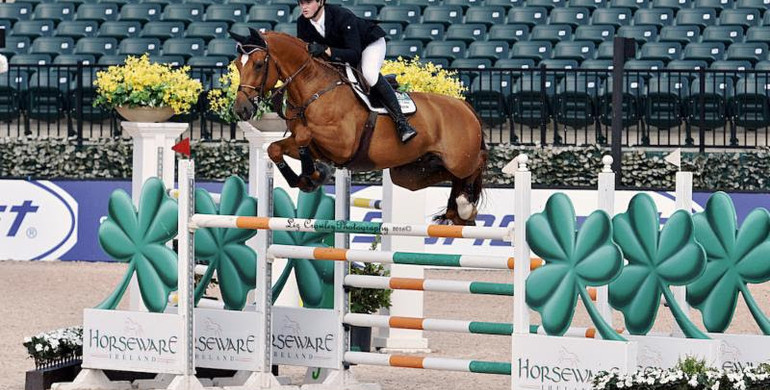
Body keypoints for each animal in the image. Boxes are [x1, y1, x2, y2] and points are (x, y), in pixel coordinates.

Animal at [230, 29, 486, 225]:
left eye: (259, 64)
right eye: (237, 65)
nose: (241, 109)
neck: (313, 89)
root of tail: (464, 106)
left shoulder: (341, 143)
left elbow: (304, 134)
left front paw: (314, 174)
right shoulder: (311, 146)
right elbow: (275, 148)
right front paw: (308, 178)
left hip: (459, 159)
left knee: (476, 164)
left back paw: (465, 206)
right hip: (408, 173)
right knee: (447, 174)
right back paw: (456, 210)